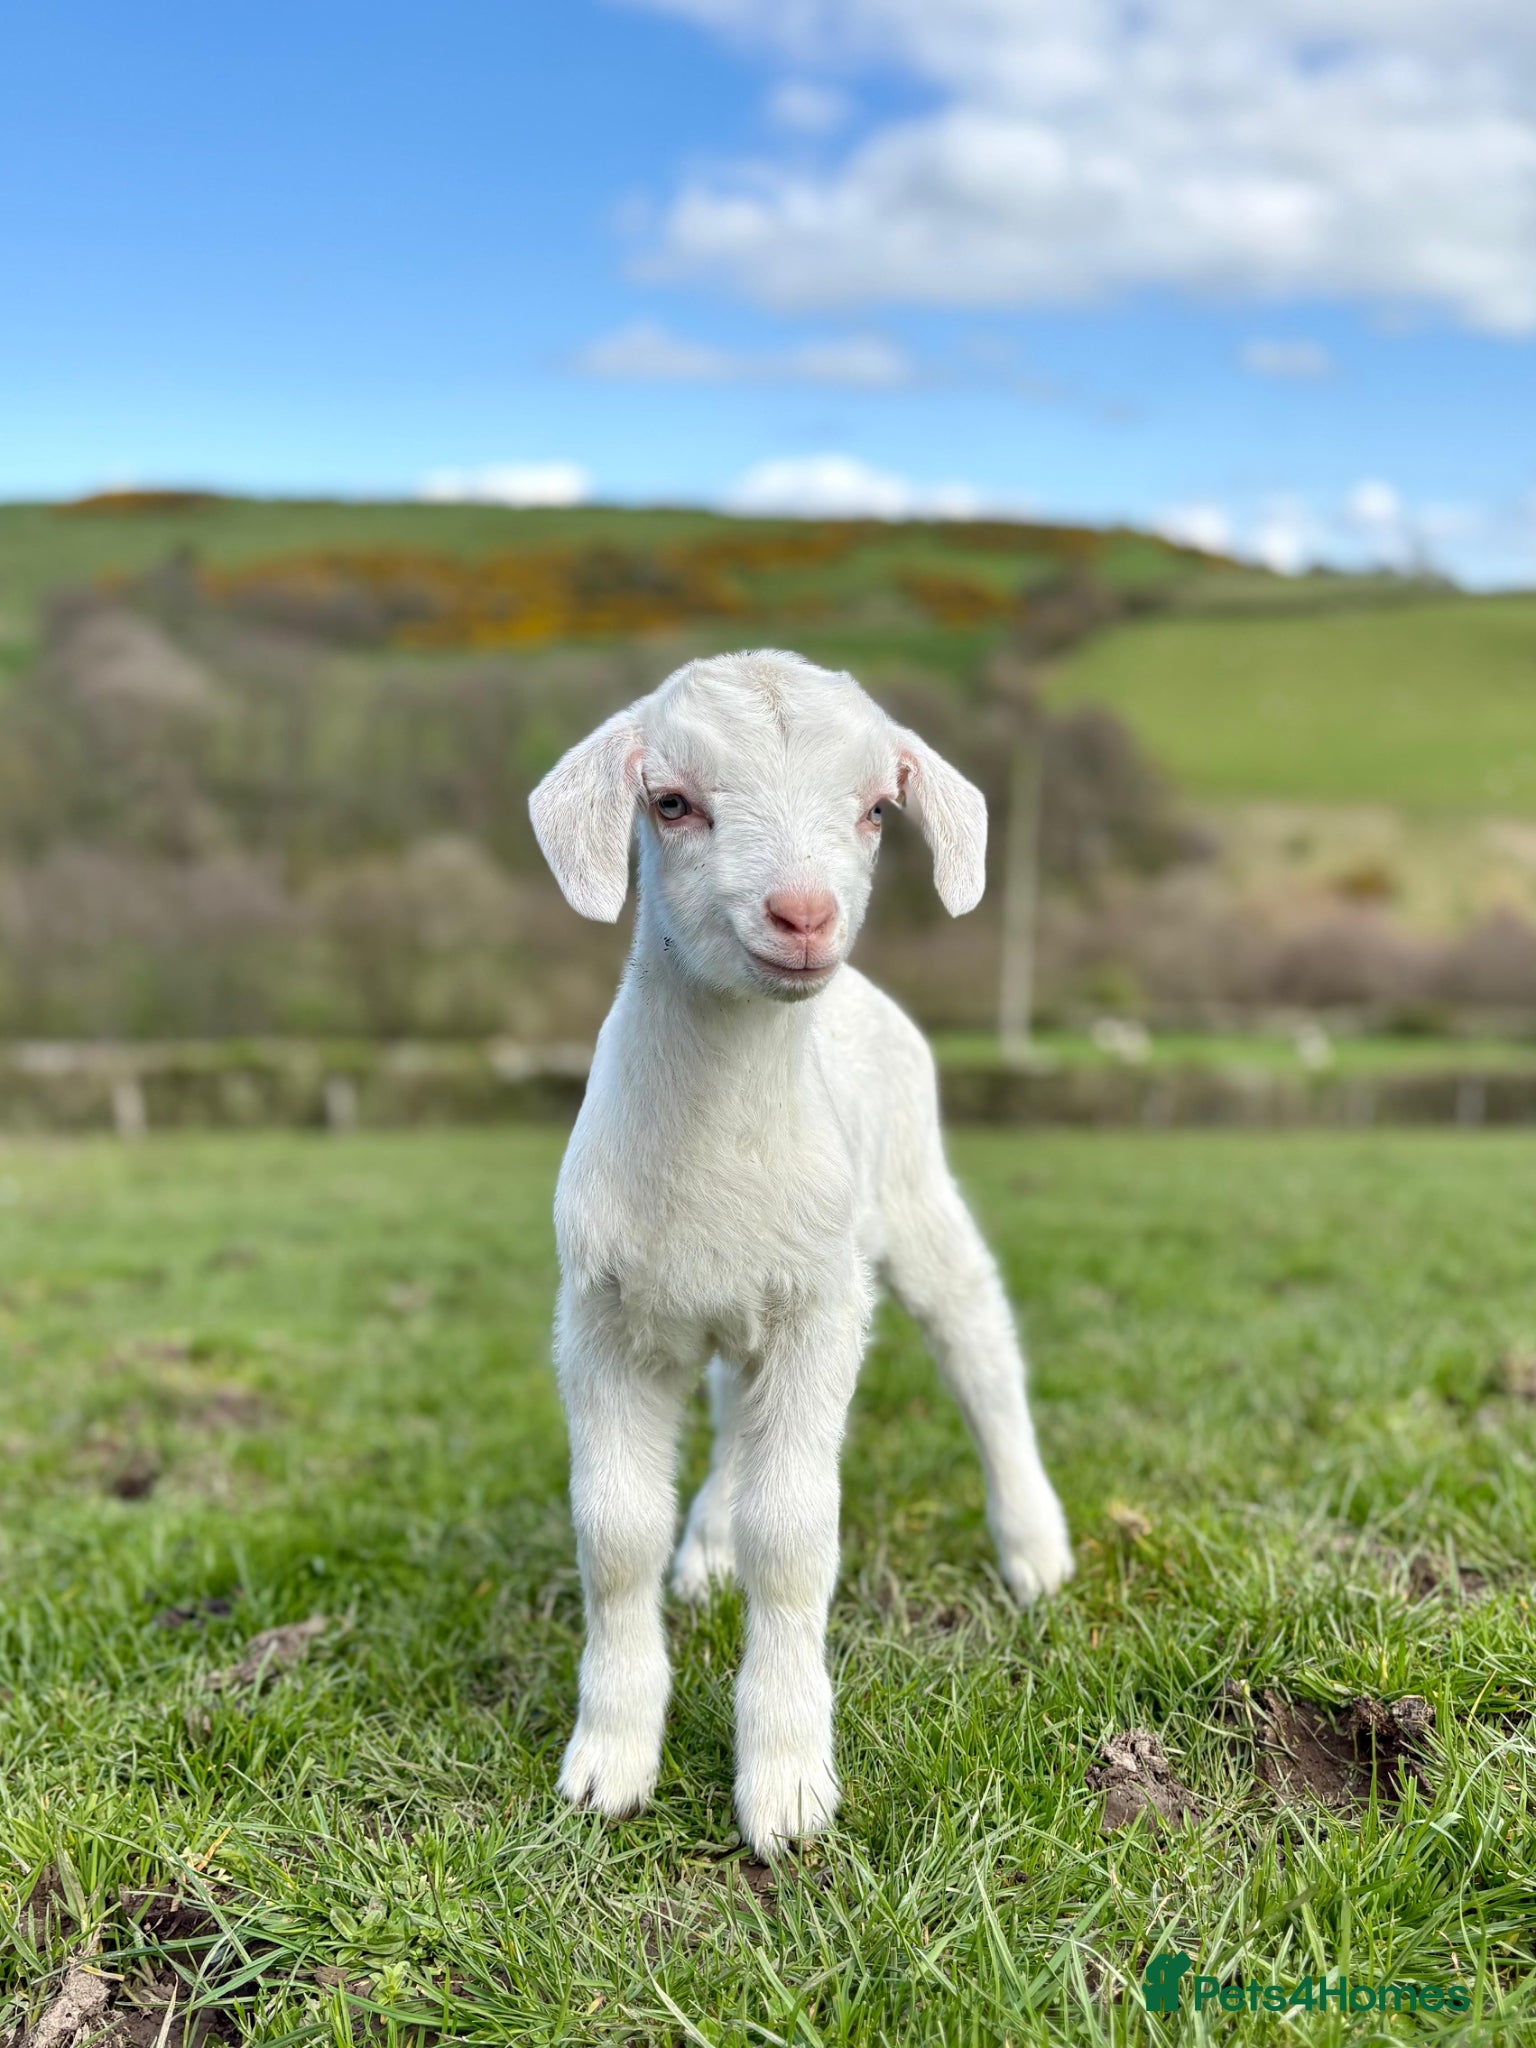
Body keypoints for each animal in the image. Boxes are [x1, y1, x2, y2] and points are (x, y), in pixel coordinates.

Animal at [530, 649, 1072, 1858]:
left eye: (874, 810)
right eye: (672, 802)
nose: (805, 914)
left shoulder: (823, 1309)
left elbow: (796, 1533)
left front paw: (783, 1783)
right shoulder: (603, 1318)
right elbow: (615, 1530)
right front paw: (610, 1760)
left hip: (912, 1202)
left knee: (983, 1352)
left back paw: (1033, 1546)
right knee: (737, 1415)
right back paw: (707, 1544)